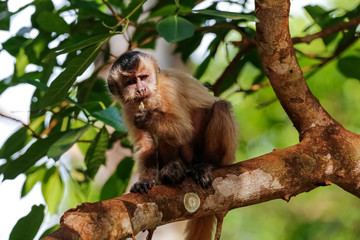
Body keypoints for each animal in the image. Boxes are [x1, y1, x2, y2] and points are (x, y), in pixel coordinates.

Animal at [107, 51, 239, 240]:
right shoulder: (129, 107)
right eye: (131, 82)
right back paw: (172, 172)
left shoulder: (169, 89)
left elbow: (183, 129)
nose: (141, 89)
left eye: (143, 77)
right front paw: (145, 180)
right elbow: (145, 145)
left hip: (226, 156)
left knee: (220, 106)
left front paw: (149, 119)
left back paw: (207, 164)